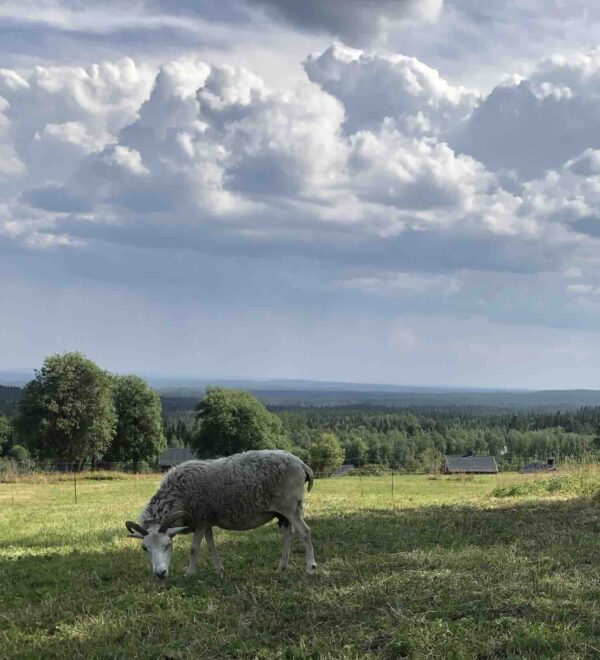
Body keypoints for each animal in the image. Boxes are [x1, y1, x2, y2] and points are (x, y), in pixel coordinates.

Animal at [124, 448, 316, 576]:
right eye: (145, 548)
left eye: (167, 545)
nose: (160, 574)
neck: (178, 497)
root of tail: (302, 464)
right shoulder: (207, 521)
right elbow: (211, 546)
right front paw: (219, 570)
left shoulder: (200, 519)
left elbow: (194, 548)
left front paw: (189, 573)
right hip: (283, 512)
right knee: (288, 534)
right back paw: (281, 568)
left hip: (291, 507)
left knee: (305, 532)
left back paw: (310, 567)